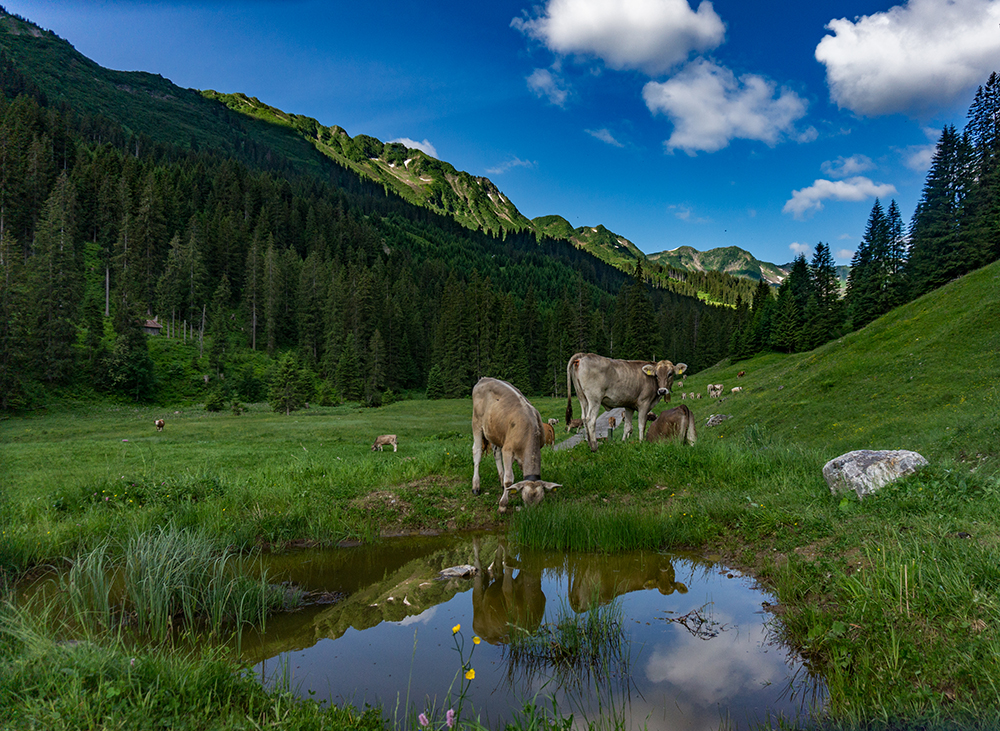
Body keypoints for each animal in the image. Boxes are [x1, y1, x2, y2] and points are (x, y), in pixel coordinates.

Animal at [470, 378, 560, 516]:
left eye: (540, 501)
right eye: (525, 499)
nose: (532, 516)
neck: (530, 430)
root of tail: (484, 378)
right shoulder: (508, 450)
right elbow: (509, 480)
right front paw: (502, 505)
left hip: (495, 431)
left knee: (496, 453)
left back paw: (500, 480)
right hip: (477, 423)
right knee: (477, 452)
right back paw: (476, 486)